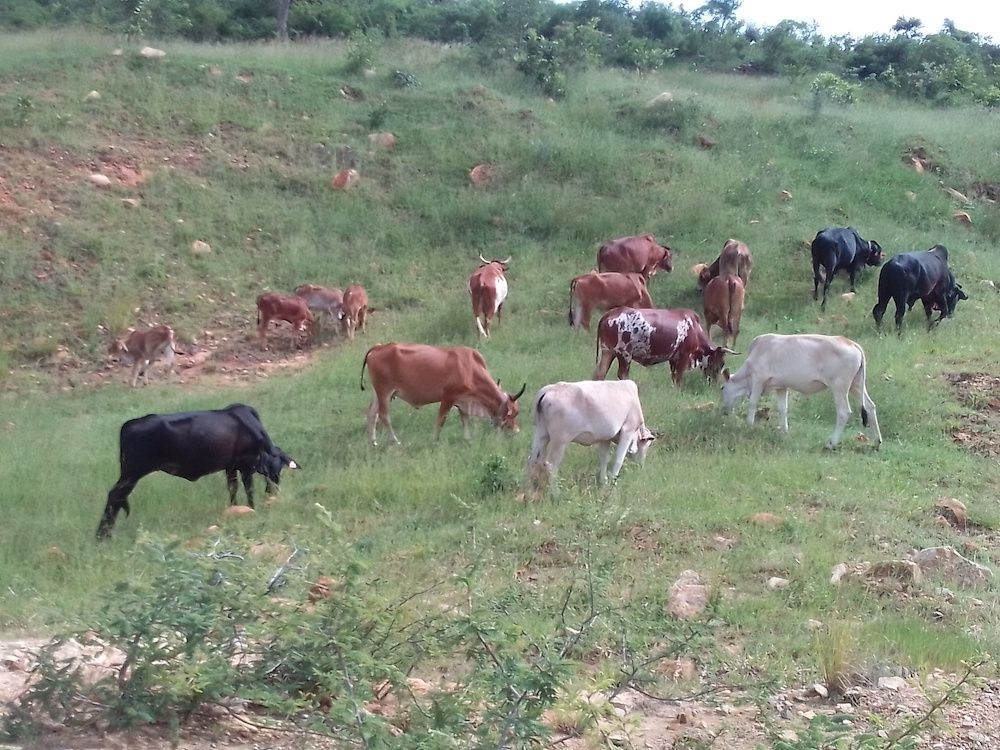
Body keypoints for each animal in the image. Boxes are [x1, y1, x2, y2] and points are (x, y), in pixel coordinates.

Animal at [96, 403, 298, 539]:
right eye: (276, 469)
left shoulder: (231, 467)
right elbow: (249, 489)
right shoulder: (246, 465)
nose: (274, 489)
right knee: (114, 496)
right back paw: (103, 535)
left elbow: (232, 489)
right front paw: (251, 509)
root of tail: (129, 424)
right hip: (132, 472)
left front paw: (235, 509)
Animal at [360, 342, 525, 446]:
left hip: (378, 392)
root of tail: (379, 347)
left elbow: (465, 419)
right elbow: (441, 420)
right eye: (512, 413)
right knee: (384, 415)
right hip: (384, 391)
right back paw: (395, 441)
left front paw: (467, 439)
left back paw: (372, 441)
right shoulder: (448, 397)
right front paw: (435, 440)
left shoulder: (463, 401)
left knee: (372, 413)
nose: (517, 431)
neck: (470, 369)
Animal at [525, 380, 656, 493]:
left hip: (541, 432)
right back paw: (556, 493)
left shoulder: (605, 438)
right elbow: (618, 460)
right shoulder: (628, 430)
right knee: (551, 465)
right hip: (560, 440)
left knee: (533, 460)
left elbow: (604, 459)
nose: (640, 466)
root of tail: (550, 389)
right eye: (646, 445)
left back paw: (528, 490)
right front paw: (612, 485)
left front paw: (604, 482)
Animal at [593, 307, 733, 385]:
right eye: (721, 362)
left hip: (608, 352)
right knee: (622, 375)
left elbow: (673, 376)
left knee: (600, 373)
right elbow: (678, 377)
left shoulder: (673, 358)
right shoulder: (684, 355)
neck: (694, 328)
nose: (715, 382)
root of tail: (609, 314)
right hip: (625, 355)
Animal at [721, 334, 882, 449]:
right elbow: (782, 408)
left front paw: (749, 425)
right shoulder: (781, 386)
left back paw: (831, 443)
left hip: (839, 388)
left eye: (722, 388)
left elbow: (752, 402)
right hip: (857, 385)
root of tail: (852, 344)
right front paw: (784, 431)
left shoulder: (758, 380)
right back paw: (876, 442)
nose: (724, 411)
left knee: (843, 412)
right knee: (870, 406)